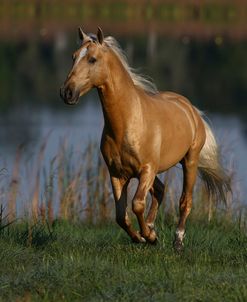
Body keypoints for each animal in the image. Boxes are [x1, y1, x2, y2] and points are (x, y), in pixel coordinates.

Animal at [59, 27, 230, 250]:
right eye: (73, 57)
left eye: (92, 59)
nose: (67, 92)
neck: (128, 123)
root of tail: (191, 109)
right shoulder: (117, 174)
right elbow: (121, 215)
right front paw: (142, 236)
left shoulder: (146, 169)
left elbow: (137, 204)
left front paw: (149, 237)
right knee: (160, 190)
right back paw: (150, 227)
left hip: (189, 162)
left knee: (185, 201)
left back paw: (177, 241)